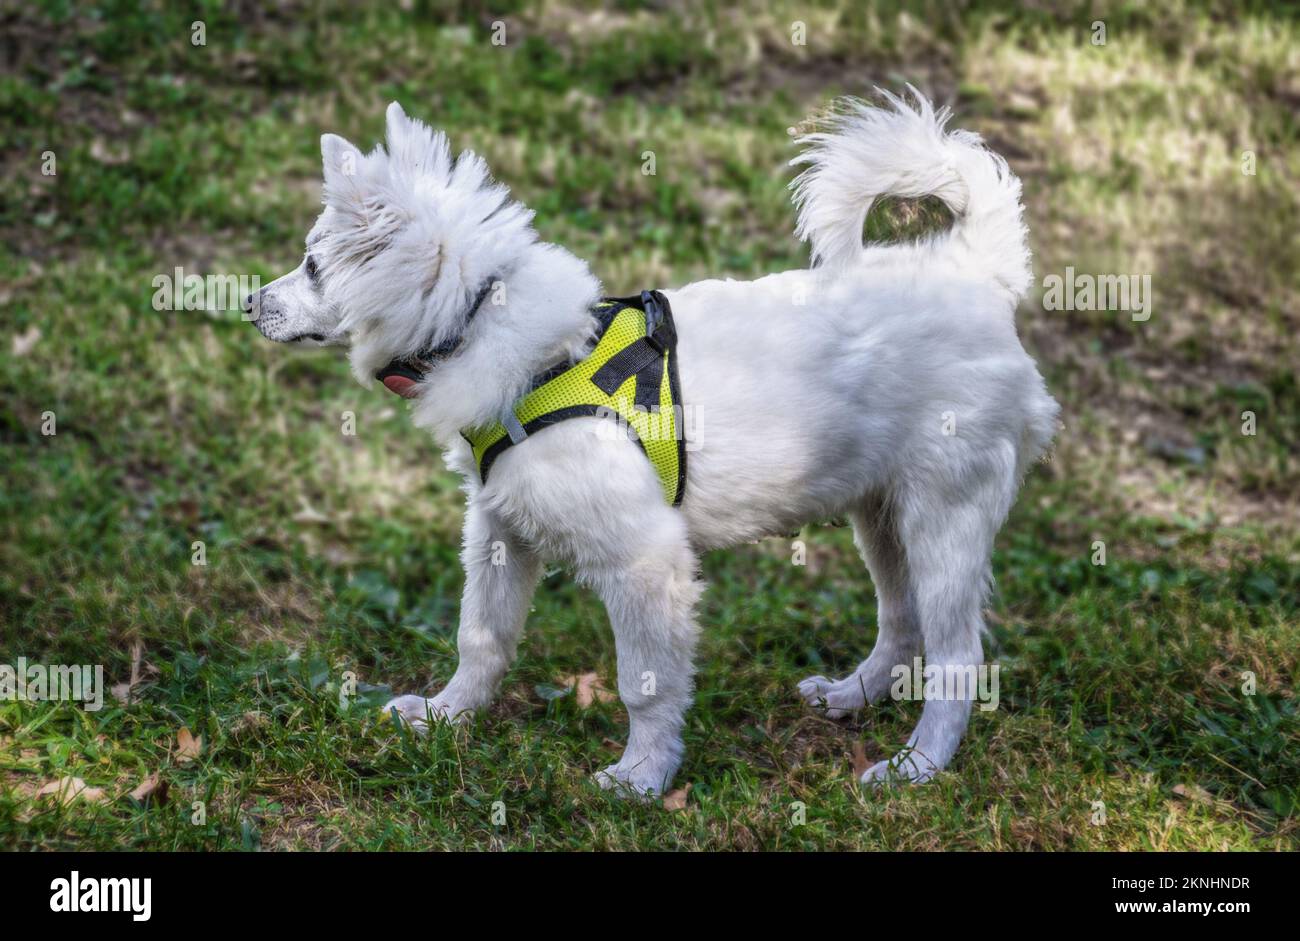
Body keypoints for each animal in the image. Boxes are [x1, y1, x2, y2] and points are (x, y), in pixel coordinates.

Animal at [250, 86, 1055, 795]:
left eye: (314, 266)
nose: (250, 302)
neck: (491, 325)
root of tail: (973, 270)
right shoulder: (499, 531)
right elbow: (480, 638)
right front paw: (447, 715)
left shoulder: (644, 561)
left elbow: (644, 684)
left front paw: (641, 777)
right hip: (881, 514)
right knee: (902, 621)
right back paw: (853, 696)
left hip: (944, 518)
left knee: (956, 658)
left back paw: (917, 766)